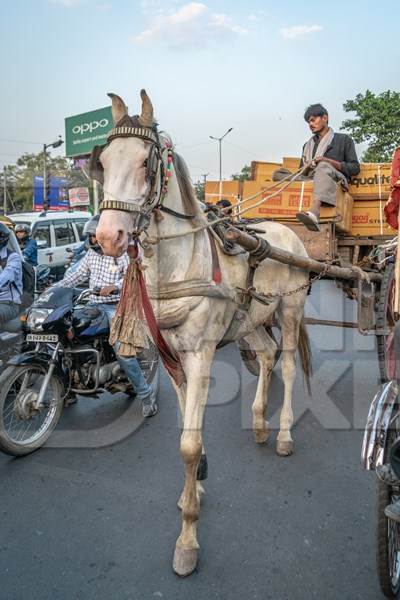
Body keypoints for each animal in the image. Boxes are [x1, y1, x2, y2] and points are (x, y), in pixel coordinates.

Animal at [95, 90, 310, 576]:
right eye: (104, 161)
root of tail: (286, 230)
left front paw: (188, 540)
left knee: (288, 365)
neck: (178, 264)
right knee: (265, 355)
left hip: (290, 308)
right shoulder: (172, 356)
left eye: (145, 163)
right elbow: (184, 432)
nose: (108, 237)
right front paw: (191, 491)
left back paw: (283, 434)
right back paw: (259, 423)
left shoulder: (201, 354)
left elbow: (189, 447)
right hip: (252, 320)